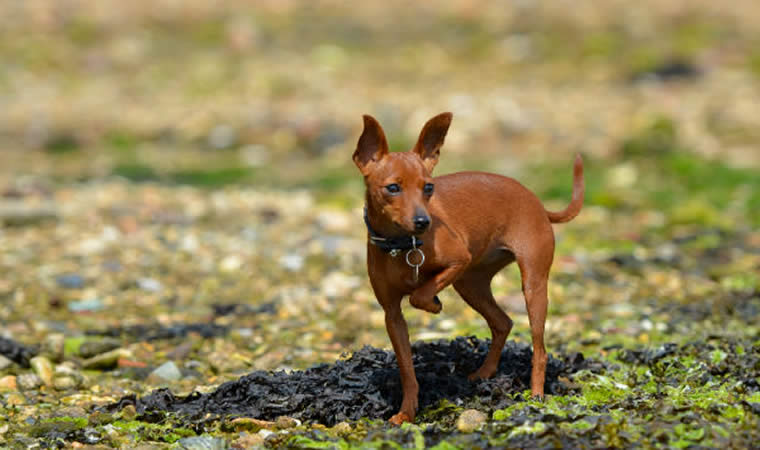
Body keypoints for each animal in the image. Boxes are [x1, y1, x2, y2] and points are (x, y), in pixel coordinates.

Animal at [354, 110, 584, 424]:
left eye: (428, 187)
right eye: (392, 188)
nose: (423, 222)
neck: (402, 245)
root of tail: (535, 200)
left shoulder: (458, 259)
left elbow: (419, 294)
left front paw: (433, 304)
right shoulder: (392, 315)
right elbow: (407, 370)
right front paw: (407, 412)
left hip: (532, 285)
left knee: (540, 350)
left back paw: (536, 395)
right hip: (470, 285)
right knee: (502, 322)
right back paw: (485, 373)